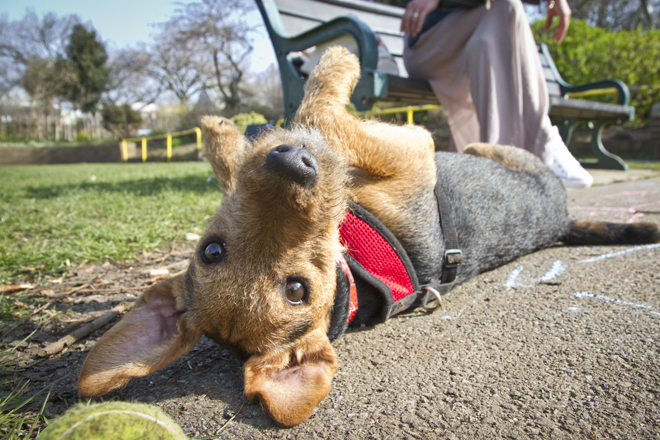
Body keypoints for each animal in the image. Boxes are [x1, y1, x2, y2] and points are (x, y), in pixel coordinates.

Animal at [78, 47, 660, 426]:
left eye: (210, 250)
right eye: (297, 291)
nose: (294, 163)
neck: (353, 266)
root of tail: (561, 221)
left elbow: (268, 146)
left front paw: (224, 134)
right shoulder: (412, 148)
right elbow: (318, 109)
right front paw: (332, 60)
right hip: (491, 150)